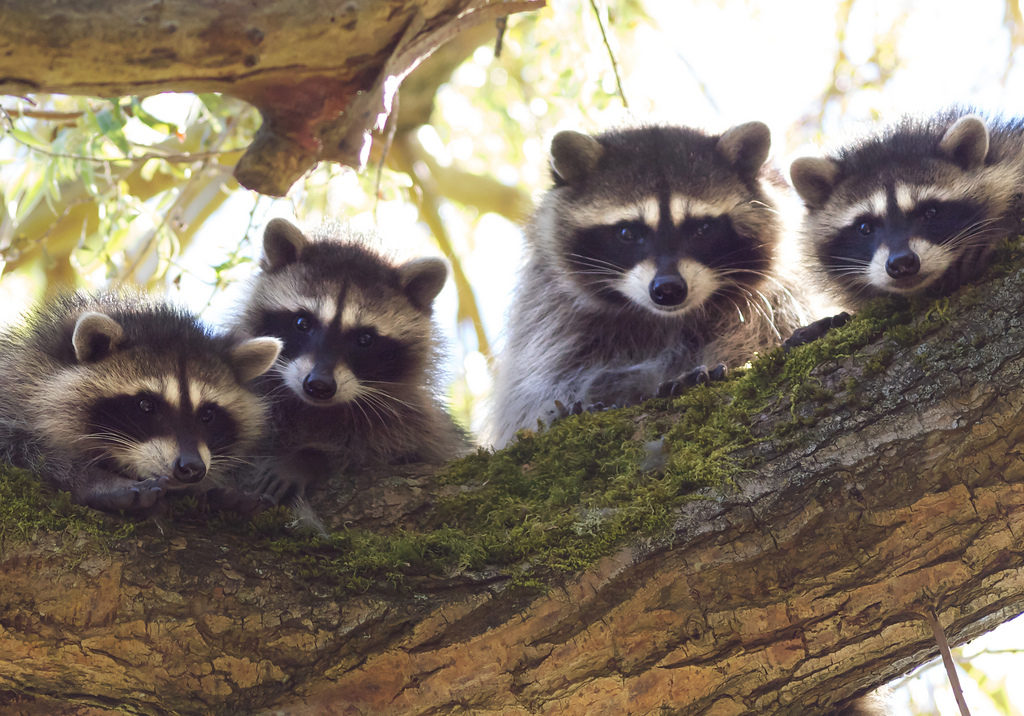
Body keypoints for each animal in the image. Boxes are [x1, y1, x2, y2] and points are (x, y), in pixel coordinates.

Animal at [0, 295, 282, 512]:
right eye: (146, 405)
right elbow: (23, 448)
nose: (192, 468)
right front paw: (94, 480)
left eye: (208, 414)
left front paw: (210, 489)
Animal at [230, 220, 466, 503]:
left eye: (364, 339)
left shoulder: (416, 424)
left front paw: (311, 457)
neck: (314, 410)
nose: (319, 385)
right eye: (302, 322)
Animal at [487, 123, 806, 448]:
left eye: (702, 229)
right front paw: (561, 408)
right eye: (628, 233)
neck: (669, 319)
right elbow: (537, 384)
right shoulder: (547, 307)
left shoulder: (778, 297)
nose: (668, 289)